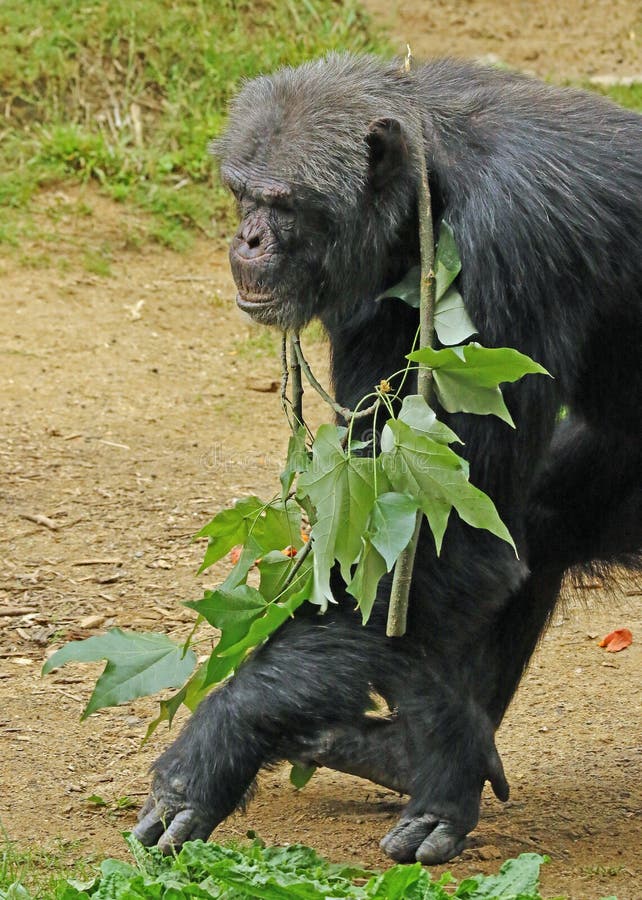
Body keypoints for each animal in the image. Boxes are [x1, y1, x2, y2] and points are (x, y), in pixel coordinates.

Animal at [132, 51, 636, 864]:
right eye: (241, 193)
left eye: (284, 203)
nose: (247, 240)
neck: (439, 181)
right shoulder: (367, 296)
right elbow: (393, 532)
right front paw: (447, 738)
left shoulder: (509, 266)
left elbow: (448, 540)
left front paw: (217, 747)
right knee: (539, 525)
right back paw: (410, 759)